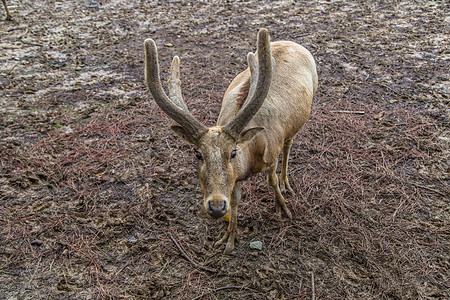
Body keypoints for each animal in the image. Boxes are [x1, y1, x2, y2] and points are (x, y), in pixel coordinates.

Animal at [144, 28, 316, 254]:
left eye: (233, 152)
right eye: (197, 153)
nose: (216, 206)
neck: (251, 158)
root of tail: (294, 43)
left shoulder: (272, 154)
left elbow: (271, 181)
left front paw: (283, 208)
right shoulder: (235, 180)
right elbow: (235, 201)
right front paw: (229, 238)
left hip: (300, 117)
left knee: (289, 144)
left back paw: (286, 182)